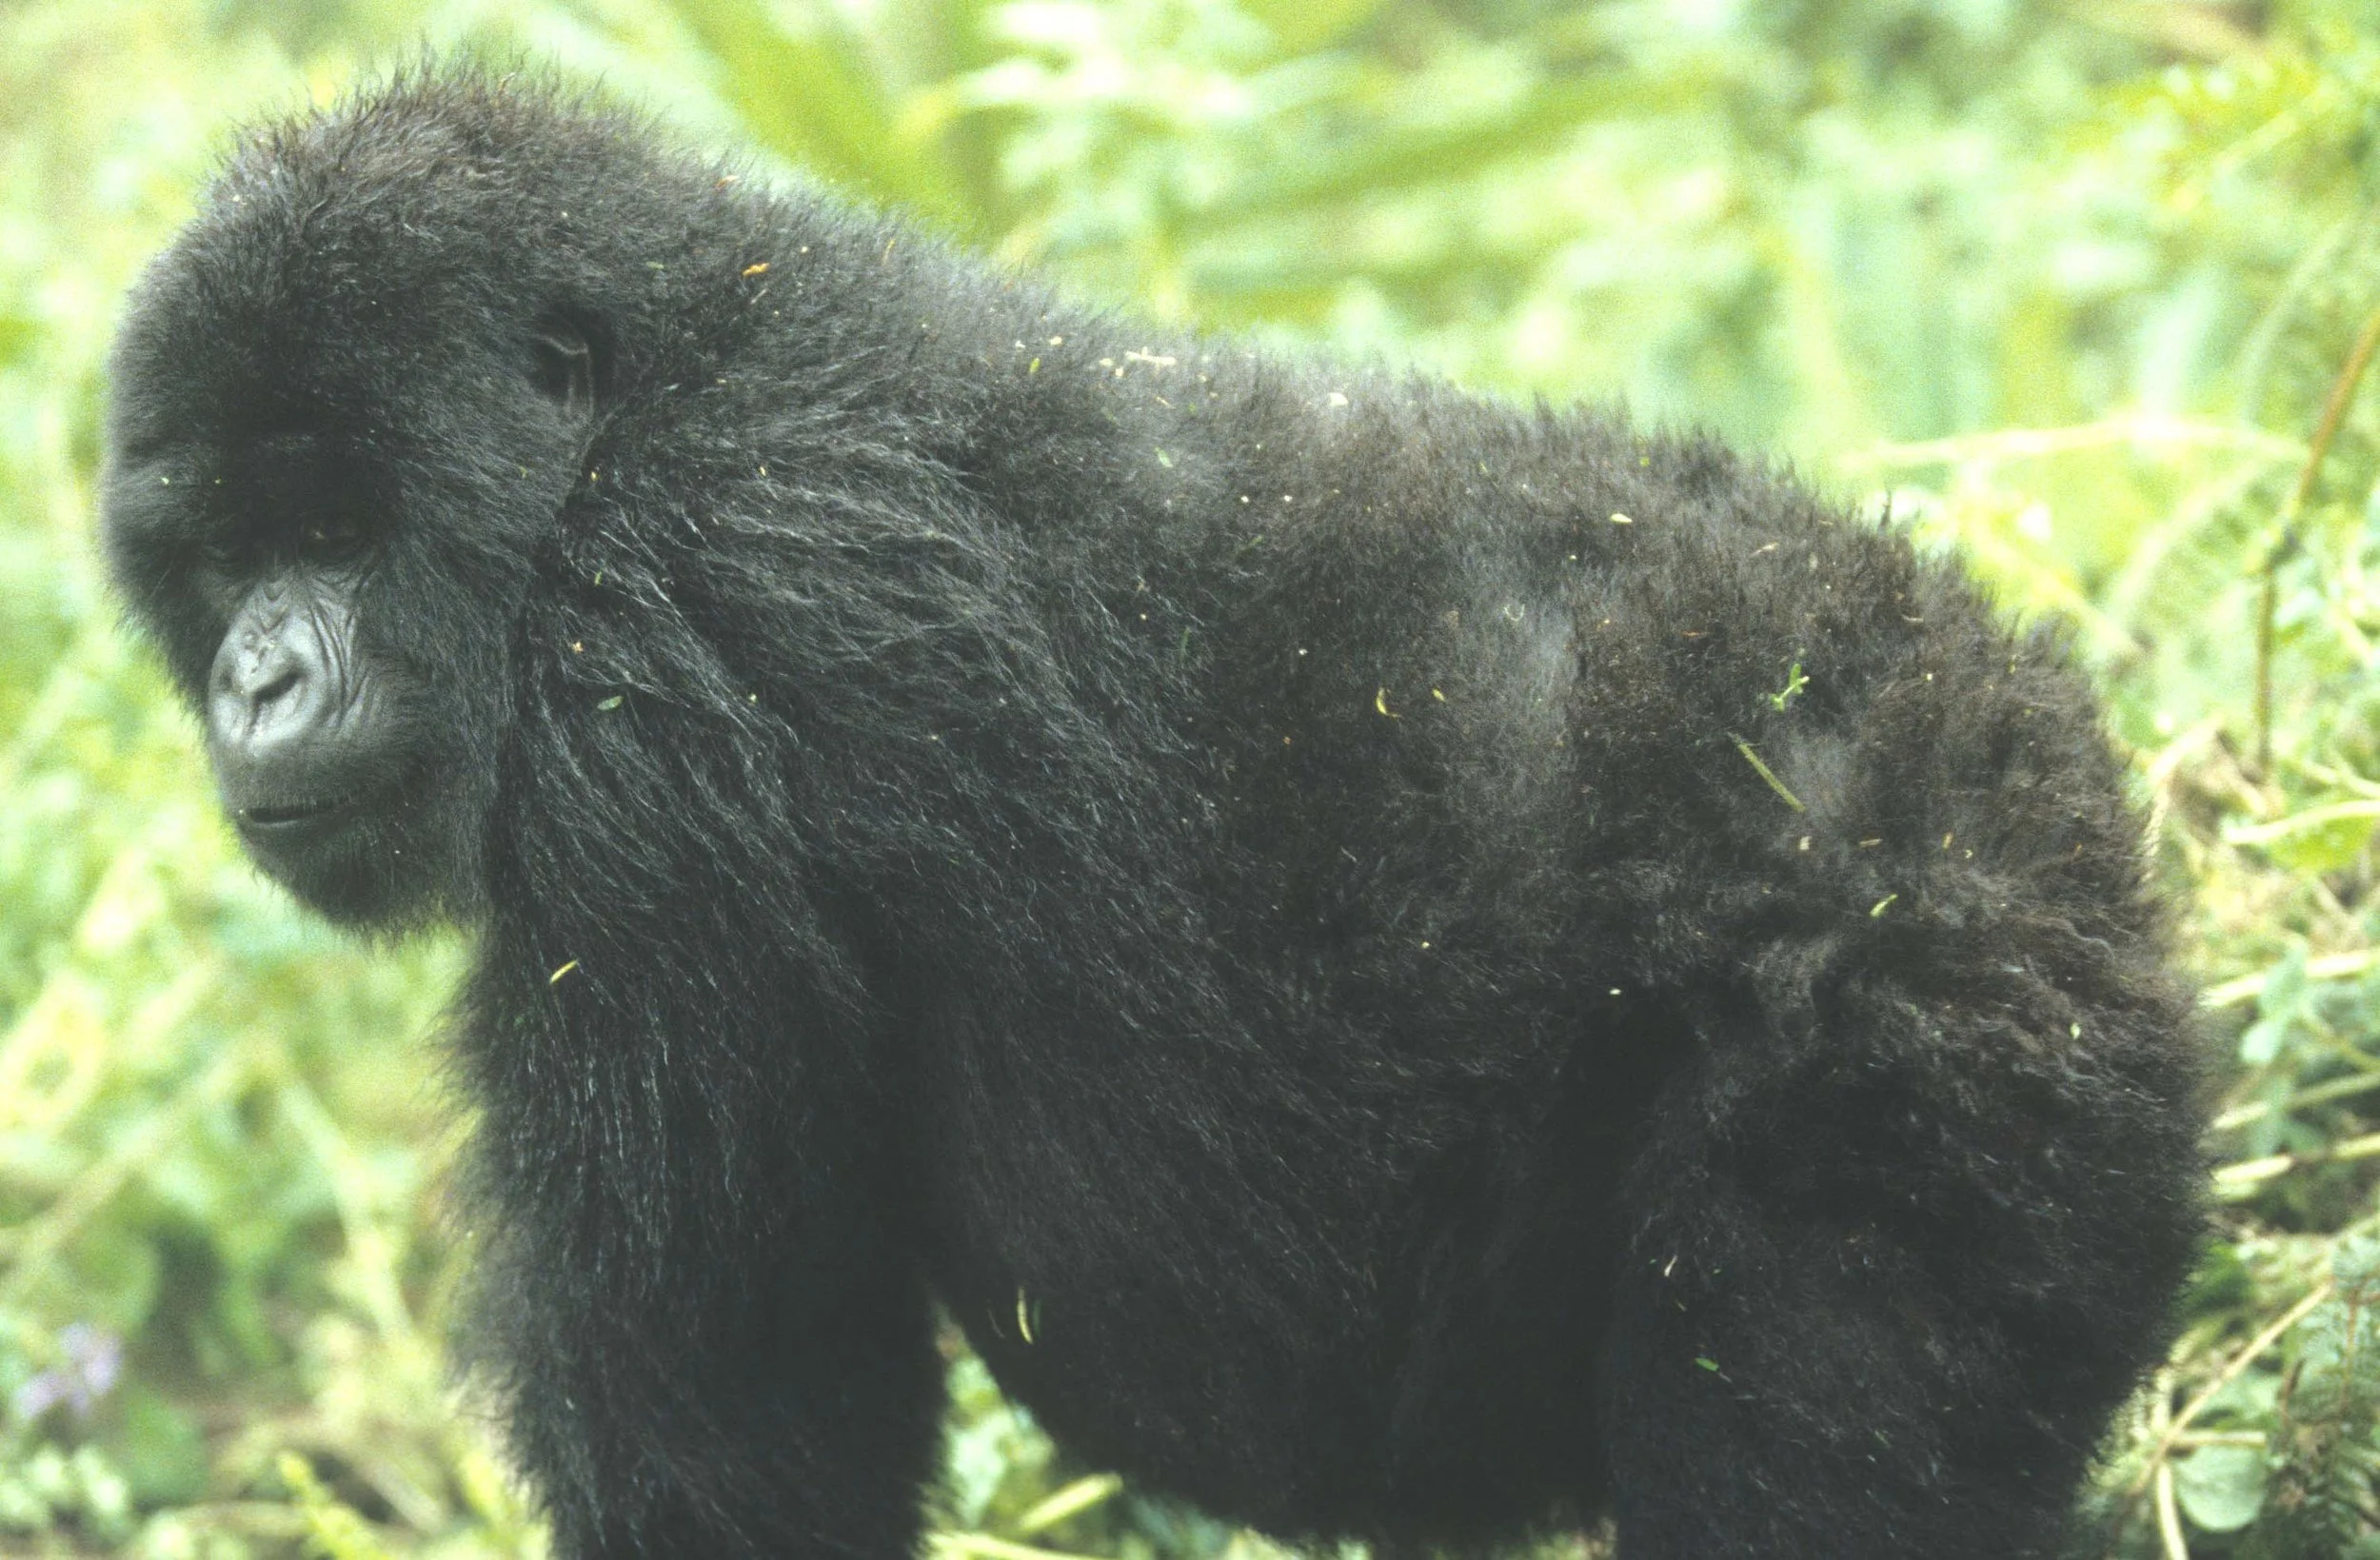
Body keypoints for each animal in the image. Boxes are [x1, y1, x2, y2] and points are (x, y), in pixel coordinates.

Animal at [103, 66, 2204, 1560]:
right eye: (222, 553)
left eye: (334, 527)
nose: (257, 680)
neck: (657, 398)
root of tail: (2063, 792)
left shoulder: (645, 711)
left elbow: (737, 1409)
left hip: (1918, 1043)